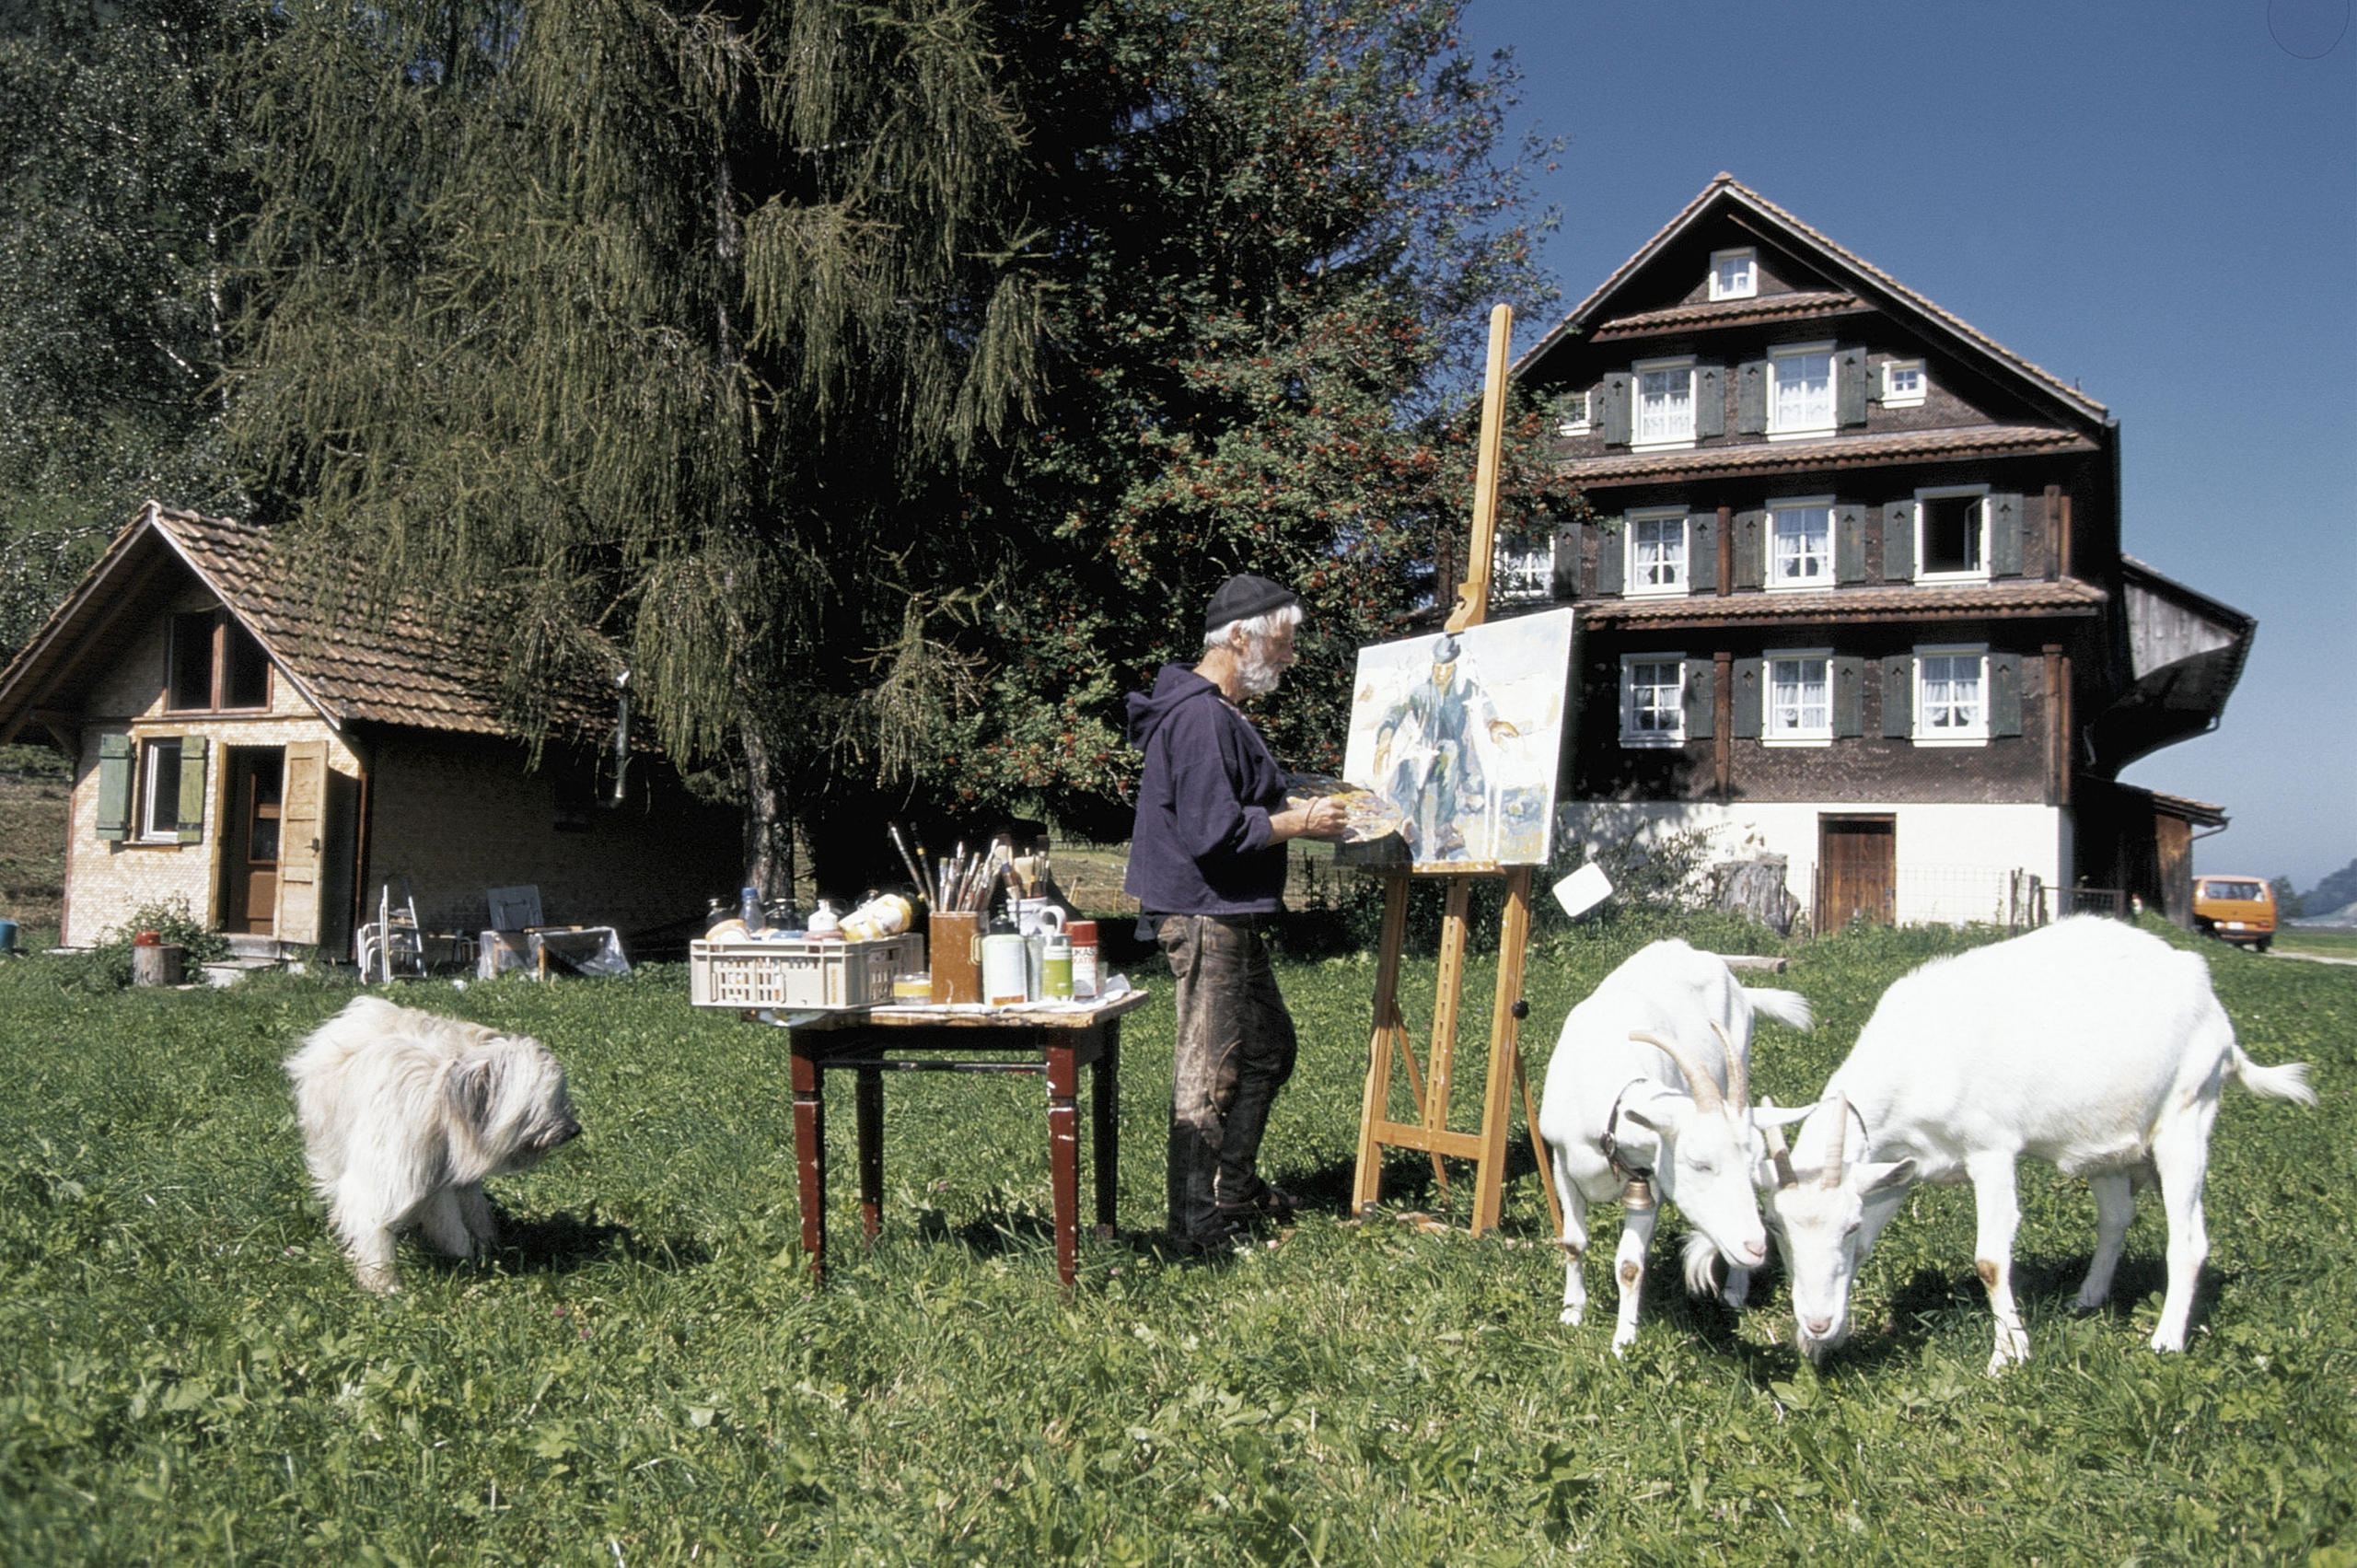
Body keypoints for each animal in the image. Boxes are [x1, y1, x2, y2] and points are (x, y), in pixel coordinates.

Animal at [287, 994, 582, 1292]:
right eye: (546, 1100)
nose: (575, 1130)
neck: (445, 1103)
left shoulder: (440, 1177)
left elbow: (449, 1220)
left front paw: (468, 1256)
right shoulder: (389, 1172)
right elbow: (374, 1224)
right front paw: (383, 1283)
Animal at [1537, 934, 1810, 1348]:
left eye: (1749, 1169)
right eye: (1699, 1163)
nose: (1756, 1247)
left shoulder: (1647, 1178)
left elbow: (1629, 1264)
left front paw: (1623, 1341)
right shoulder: (1563, 1164)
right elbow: (1573, 1242)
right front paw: (1572, 1313)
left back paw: (1734, 1291)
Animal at [1762, 919, 2309, 1367]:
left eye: (1848, 1225)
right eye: (1777, 1229)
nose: (1815, 1322)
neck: (1921, 1051)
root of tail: (2210, 1001)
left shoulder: (1990, 1150)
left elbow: (1989, 1260)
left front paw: (2008, 1356)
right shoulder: (1899, 1163)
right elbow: (1867, 1250)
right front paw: (1822, 1343)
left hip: (2187, 1115)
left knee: (2190, 1239)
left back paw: (2166, 1340)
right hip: (2110, 1143)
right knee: (2117, 1216)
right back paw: (2086, 1299)